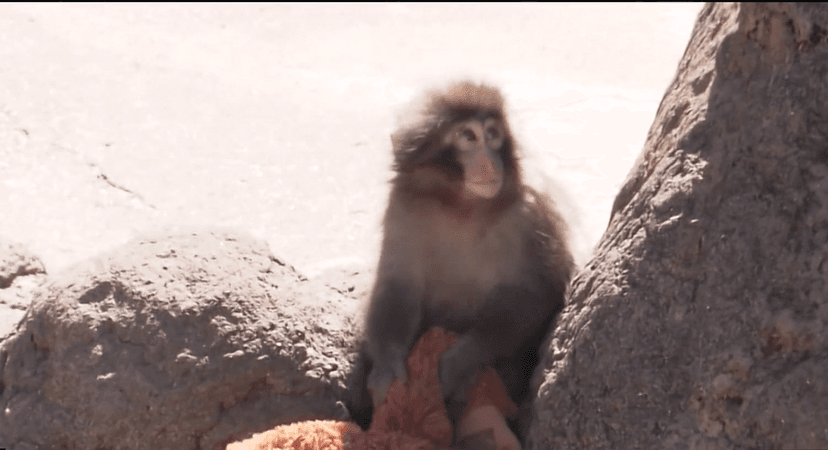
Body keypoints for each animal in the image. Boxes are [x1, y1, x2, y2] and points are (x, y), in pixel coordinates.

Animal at [346, 81, 575, 443]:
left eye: (492, 134)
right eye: (468, 137)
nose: (490, 162)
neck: (463, 205)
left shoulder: (533, 211)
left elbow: (541, 292)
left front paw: (459, 361)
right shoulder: (404, 204)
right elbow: (397, 285)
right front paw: (386, 371)